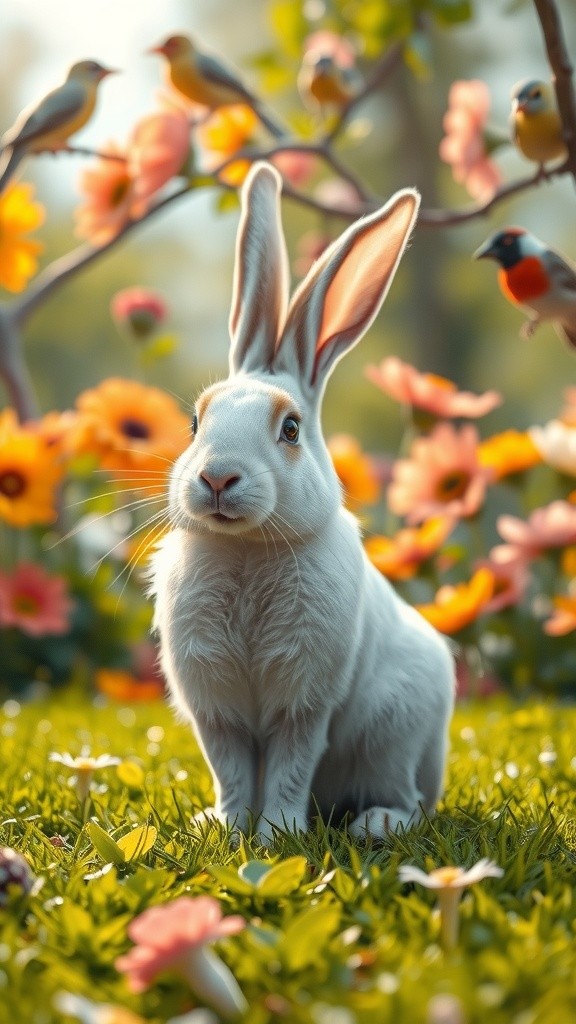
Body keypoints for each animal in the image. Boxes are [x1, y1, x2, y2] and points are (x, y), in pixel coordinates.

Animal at [149, 161, 455, 843]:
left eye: (290, 429)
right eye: (194, 423)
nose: (217, 479)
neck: (246, 549)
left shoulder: (305, 703)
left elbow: (290, 767)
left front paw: (276, 836)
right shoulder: (217, 710)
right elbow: (232, 771)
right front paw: (229, 828)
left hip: (393, 735)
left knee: (409, 800)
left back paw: (375, 824)